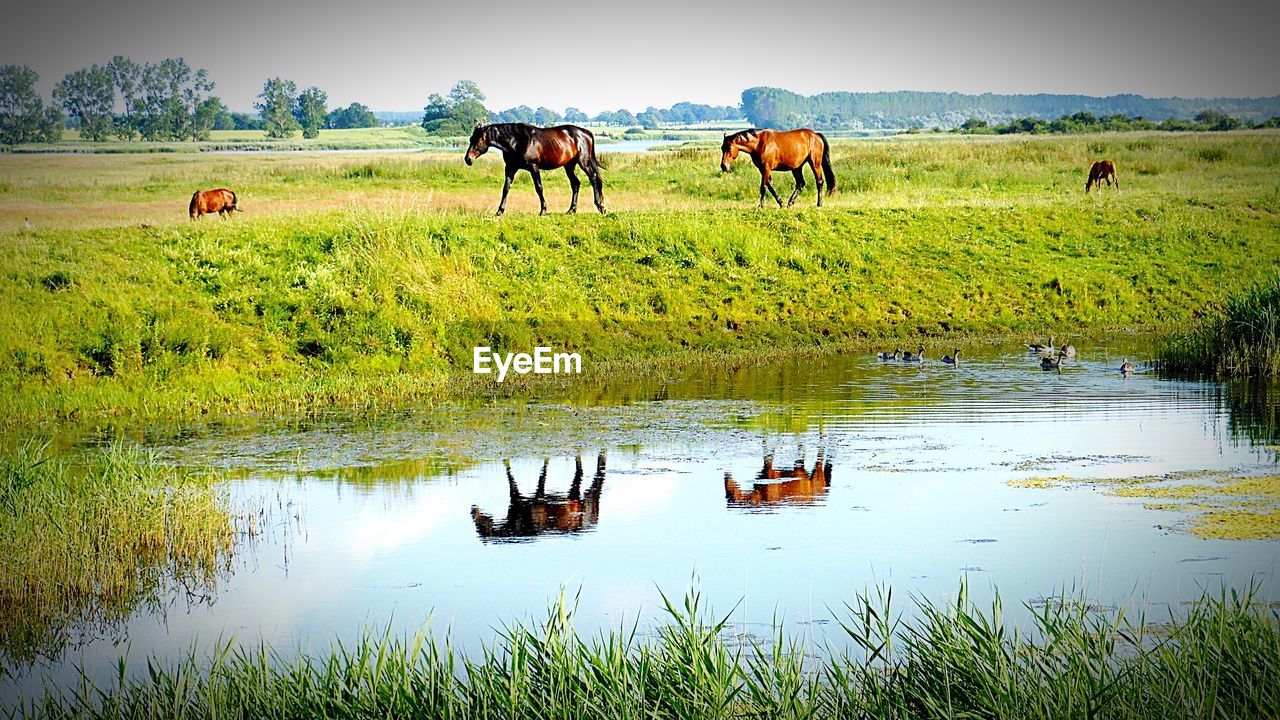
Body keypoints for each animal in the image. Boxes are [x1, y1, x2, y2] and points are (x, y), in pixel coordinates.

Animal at [465, 121, 604, 215]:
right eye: (471, 138)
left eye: (479, 139)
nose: (468, 159)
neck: (517, 141)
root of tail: (585, 133)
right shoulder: (510, 168)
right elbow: (506, 189)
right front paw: (499, 211)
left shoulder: (534, 167)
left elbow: (539, 188)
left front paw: (543, 210)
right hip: (569, 165)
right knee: (575, 184)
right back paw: (571, 210)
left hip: (583, 162)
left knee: (593, 178)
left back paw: (600, 206)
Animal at [473, 450, 606, 540]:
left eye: (479, 526)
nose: (473, 510)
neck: (519, 523)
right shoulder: (517, 498)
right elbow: (511, 479)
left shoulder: (538, 497)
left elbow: (542, 476)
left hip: (585, 498)